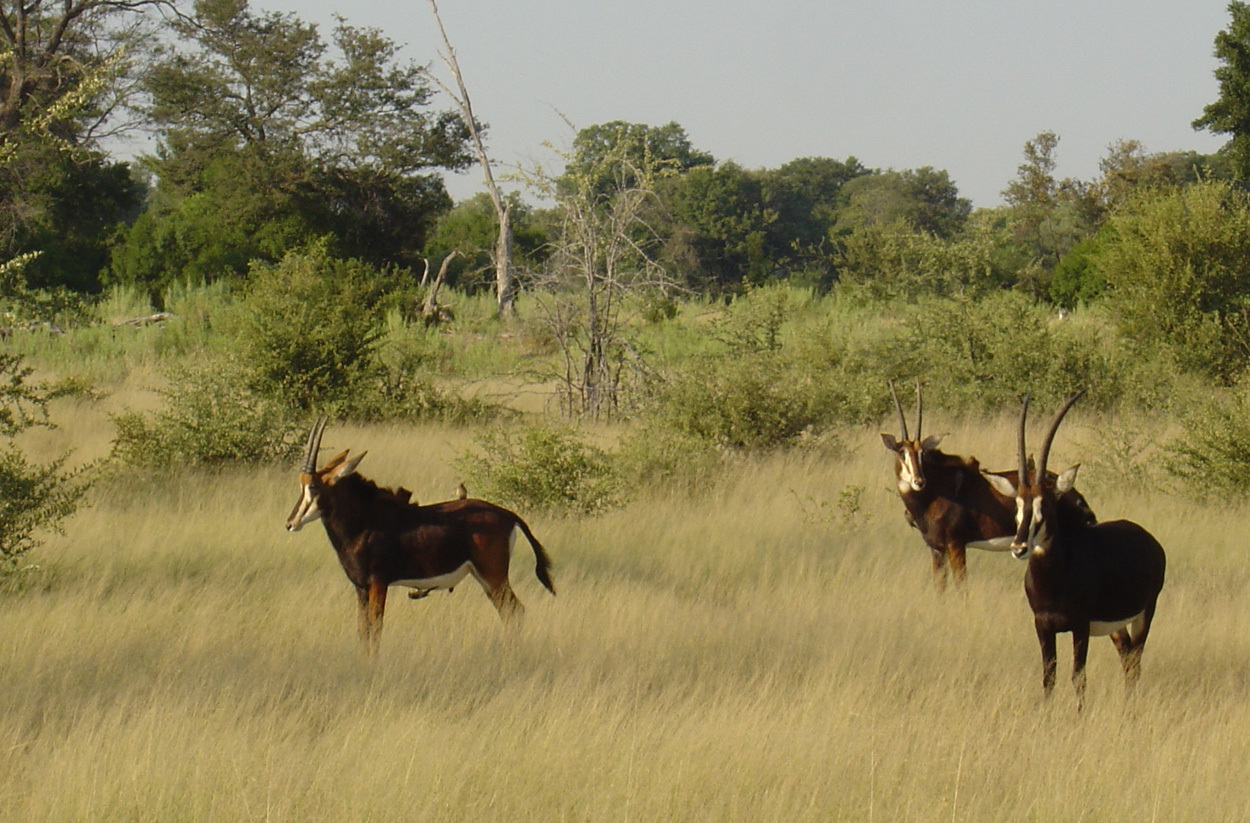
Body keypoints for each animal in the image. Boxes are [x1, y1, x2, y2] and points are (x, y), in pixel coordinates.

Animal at [287, 417, 557, 655]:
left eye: (313, 487)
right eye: (300, 485)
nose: (291, 523)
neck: (365, 521)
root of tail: (508, 515)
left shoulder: (378, 583)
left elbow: (376, 627)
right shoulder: (360, 588)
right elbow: (363, 629)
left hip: (493, 576)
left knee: (514, 611)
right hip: (484, 578)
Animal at [880, 380, 1095, 585]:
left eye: (922, 453)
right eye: (902, 453)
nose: (919, 481)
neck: (935, 493)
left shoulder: (956, 545)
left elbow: (961, 587)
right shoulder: (936, 549)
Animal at [985, 390, 1170, 705]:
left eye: (1045, 505)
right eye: (1018, 504)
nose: (1019, 547)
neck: (1054, 579)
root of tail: (1150, 541)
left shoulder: (1079, 626)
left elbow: (1078, 677)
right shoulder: (1042, 626)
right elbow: (1049, 678)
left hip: (1145, 613)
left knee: (1135, 662)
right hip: (1116, 627)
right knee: (1127, 657)